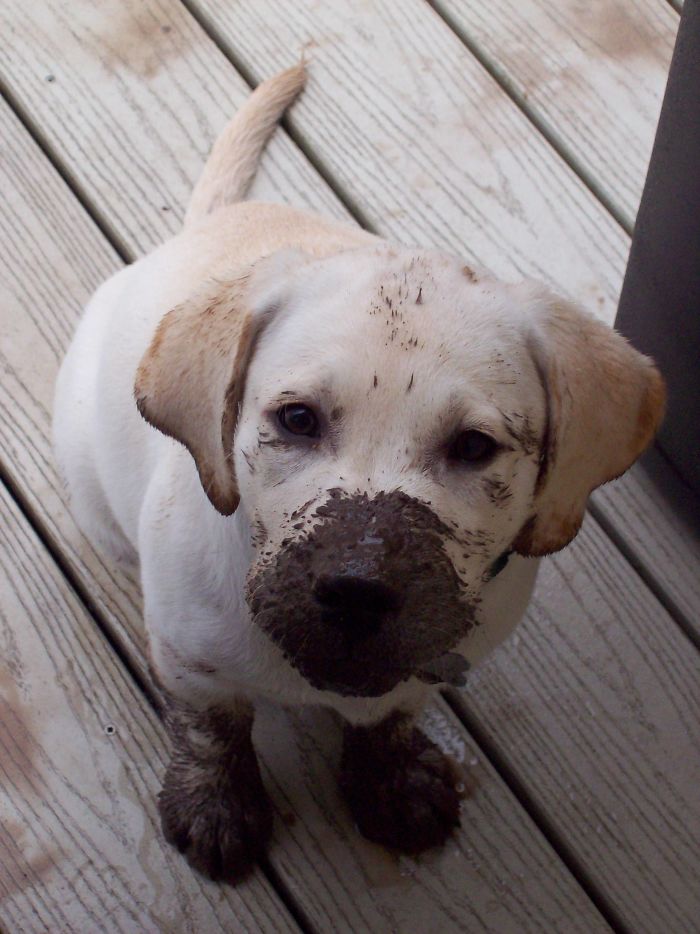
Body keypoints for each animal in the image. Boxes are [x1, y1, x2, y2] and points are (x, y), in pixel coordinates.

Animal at [52, 66, 664, 884]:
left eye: (474, 447)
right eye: (297, 419)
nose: (356, 591)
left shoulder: (422, 666)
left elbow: (390, 716)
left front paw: (391, 780)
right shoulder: (189, 663)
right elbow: (210, 729)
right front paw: (215, 805)